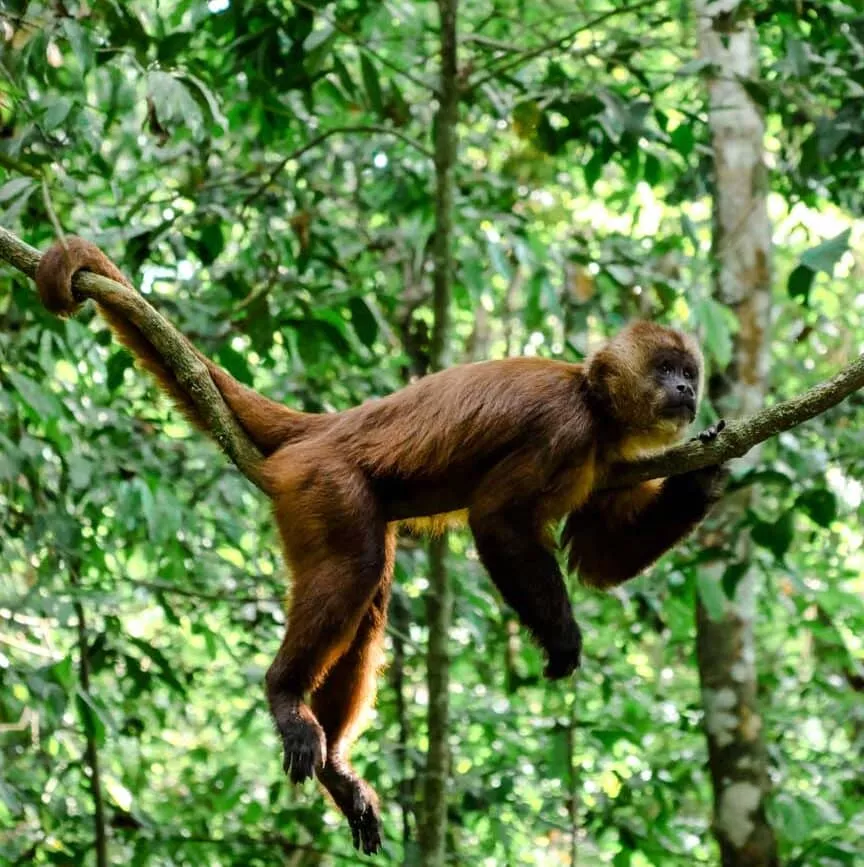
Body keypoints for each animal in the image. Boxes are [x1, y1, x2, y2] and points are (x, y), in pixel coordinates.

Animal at [35, 237, 727, 855]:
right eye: (666, 371)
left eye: (688, 374)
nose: (688, 391)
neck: (591, 397)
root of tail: (331, 425)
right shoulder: (566, 428)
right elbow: (498, 521)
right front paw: (562, 641)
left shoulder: (606, 456)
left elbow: (594, 560)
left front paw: (705, 479)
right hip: (322, 480)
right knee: (358, 567)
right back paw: (284, 693)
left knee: (368, 596)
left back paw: (336, 770)